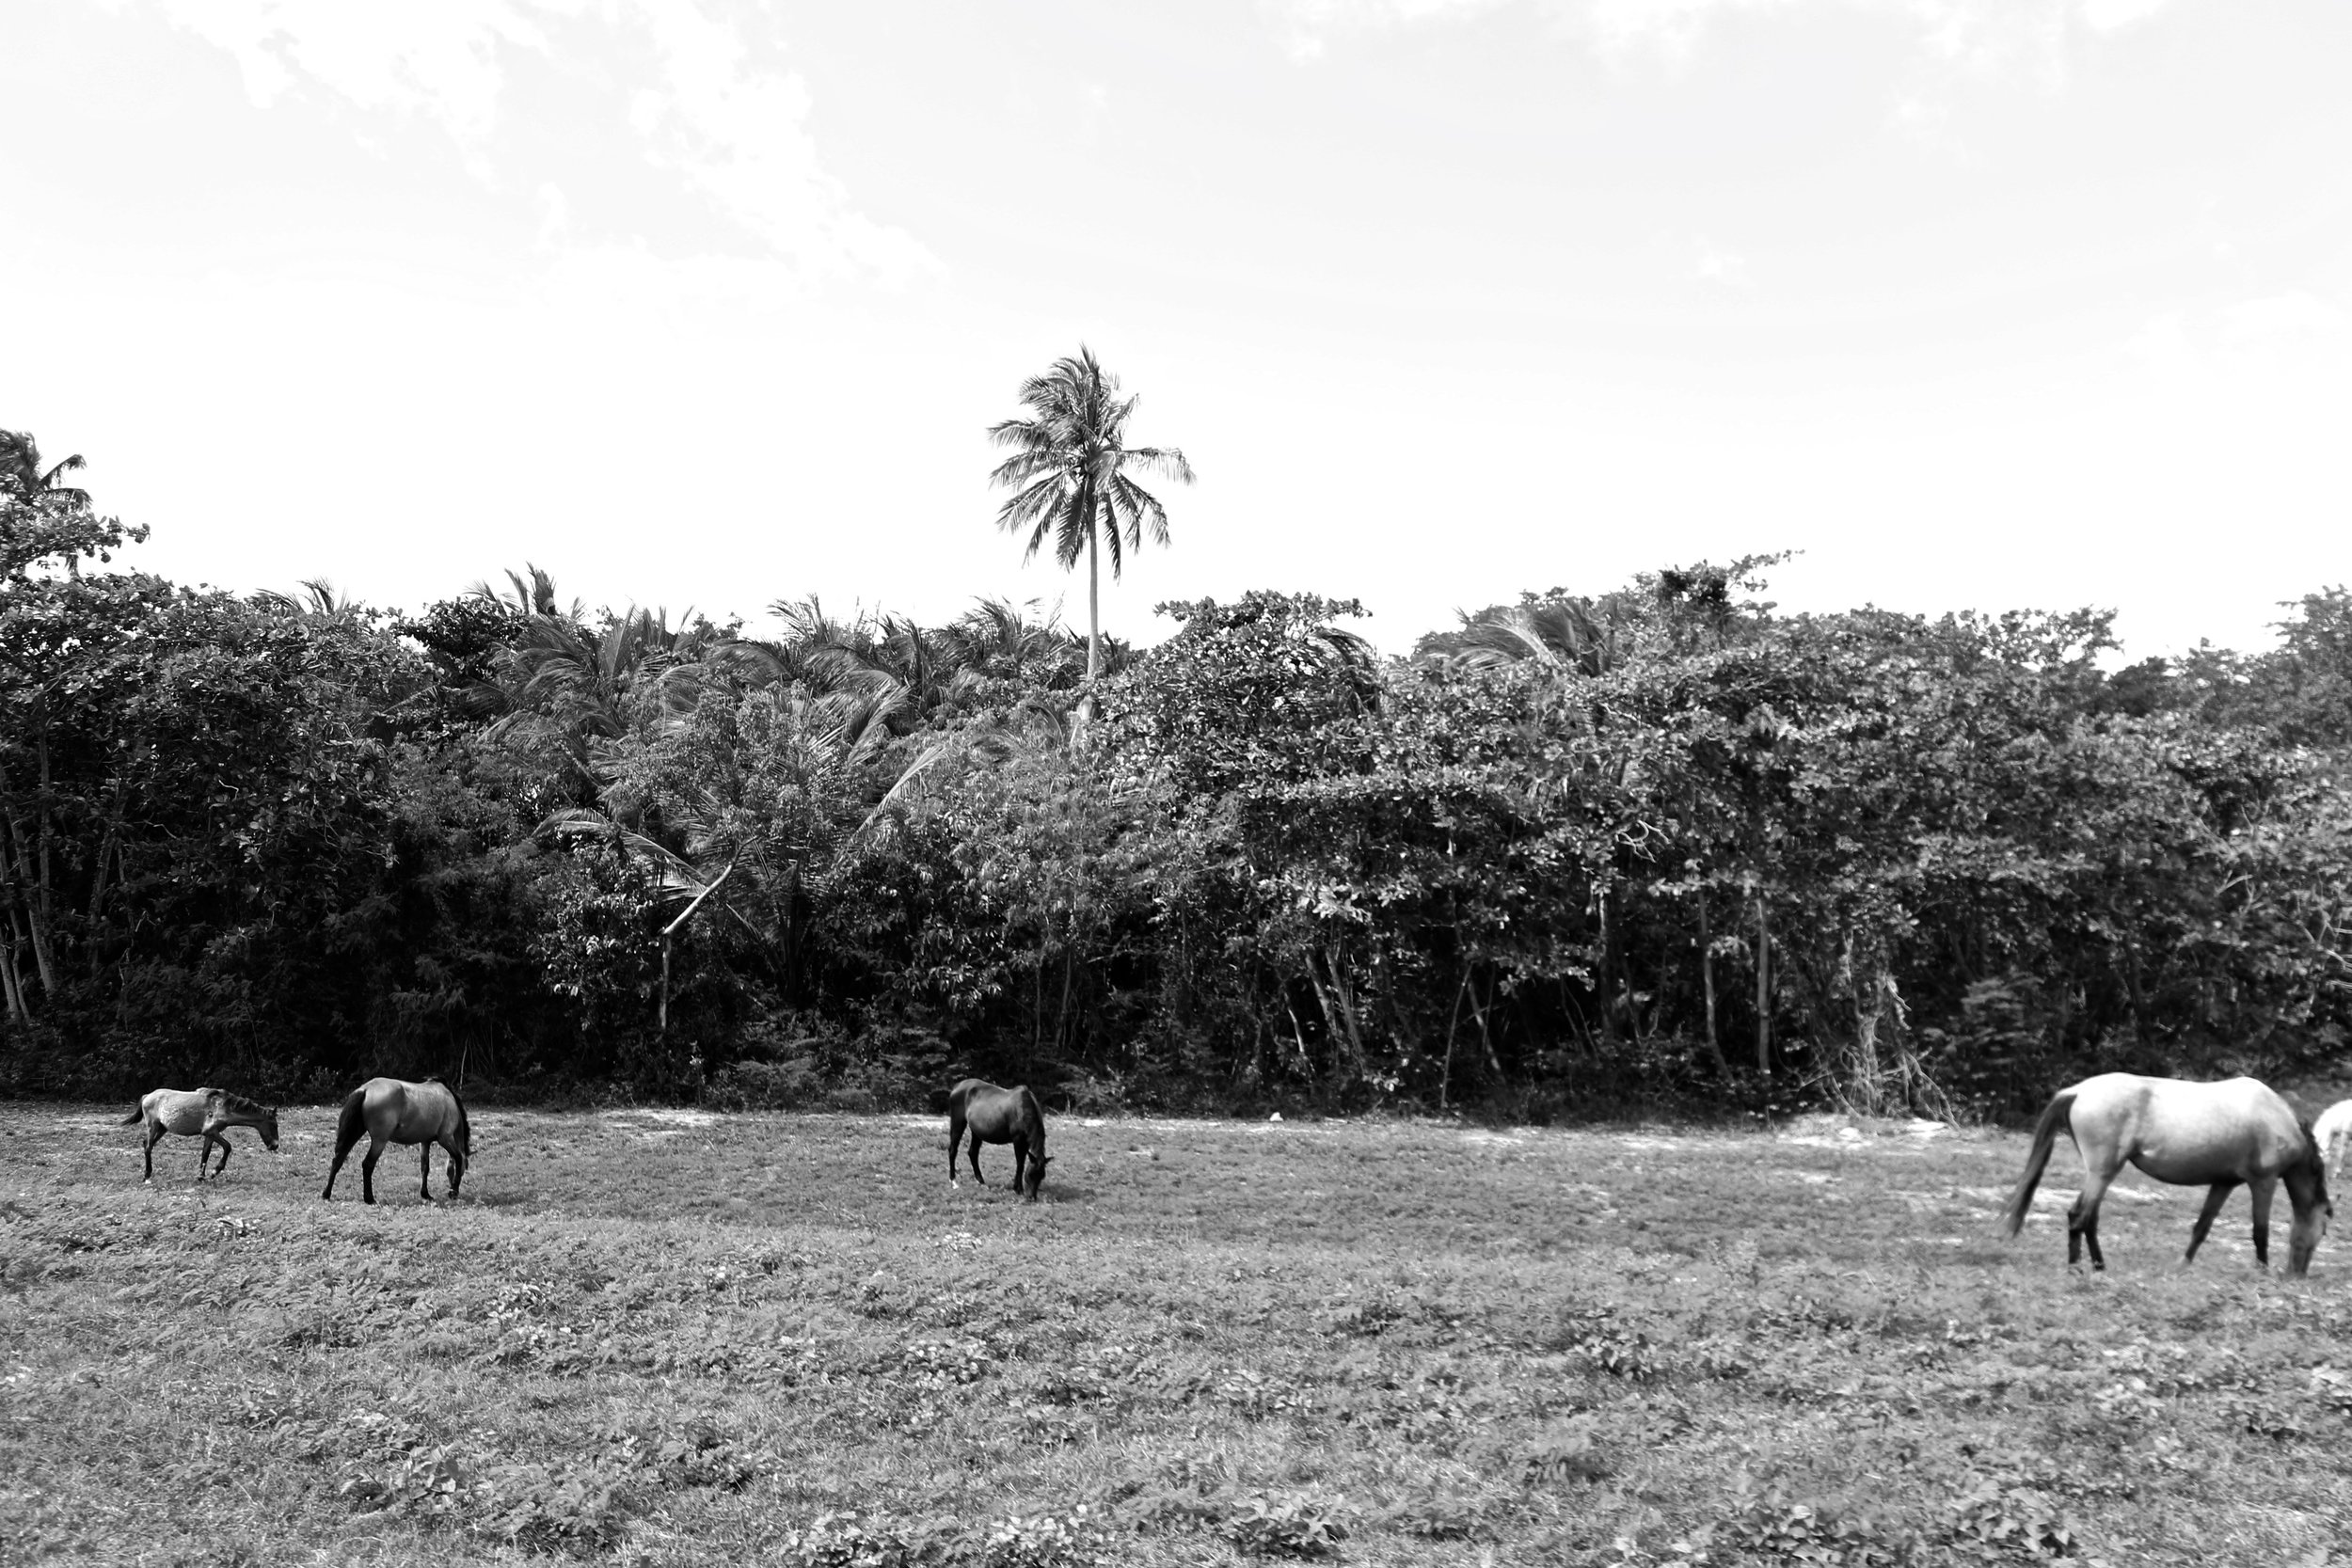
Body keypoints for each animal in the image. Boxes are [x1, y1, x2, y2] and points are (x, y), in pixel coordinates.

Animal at [120, 1085, 278, 1184]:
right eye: (274, 1125)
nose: (275, 1145)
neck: (222, 1106)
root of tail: (147, 1096)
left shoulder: (210, 1135)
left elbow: (205, 1154)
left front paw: (201, 1177)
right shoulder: (211, 1131)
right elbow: (228, 1147)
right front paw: (214, 1171)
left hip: (162, 1128)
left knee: (147, 1145)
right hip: (153, 1126)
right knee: (148, 1146)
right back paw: (147, 1176)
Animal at [322, 1071, 472, 1212]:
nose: (452, 1189)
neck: (450, 1101)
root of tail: (365, 1089)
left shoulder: (425, 1142)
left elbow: (425, 1168)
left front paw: (426, 1194)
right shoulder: (445, 1138)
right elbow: (458, 1158)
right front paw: (454, 1191)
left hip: (354, 1133)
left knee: (338, 1160)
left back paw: (326, 1194)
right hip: (379, 1141)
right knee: (367, 1164)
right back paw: (369, 1198)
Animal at [950, 1081, 1054, 1203]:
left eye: (1042, 1176)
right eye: (1030, 1174)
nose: (1031, 1197)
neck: (1022, 1108)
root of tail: (957, 1086)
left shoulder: (1025, 1142)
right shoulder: (1018, 1140)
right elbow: (1020, 1164)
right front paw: (1018, 1189)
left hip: (976, 1132)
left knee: (973, 1153)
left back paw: (981, 1181)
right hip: (958, 1123)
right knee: (953, 1150)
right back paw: (953, 1182)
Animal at [2004, 1071, 2333, 1278]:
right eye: (2322, 1232)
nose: (2296, 1274)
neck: (2274, 1117)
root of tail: (2077, 1091)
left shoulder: (2223, 1183)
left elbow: (2202, 1228)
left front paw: (2181, 1267)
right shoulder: (2263, 1182)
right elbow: (2260, 1232)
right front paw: (2262, 1272)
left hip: (2100, 1175)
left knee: (2090, 1220)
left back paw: (2100, 1267)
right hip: (2102, 1172)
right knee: (2078, 1216)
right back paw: (2076, 1270)